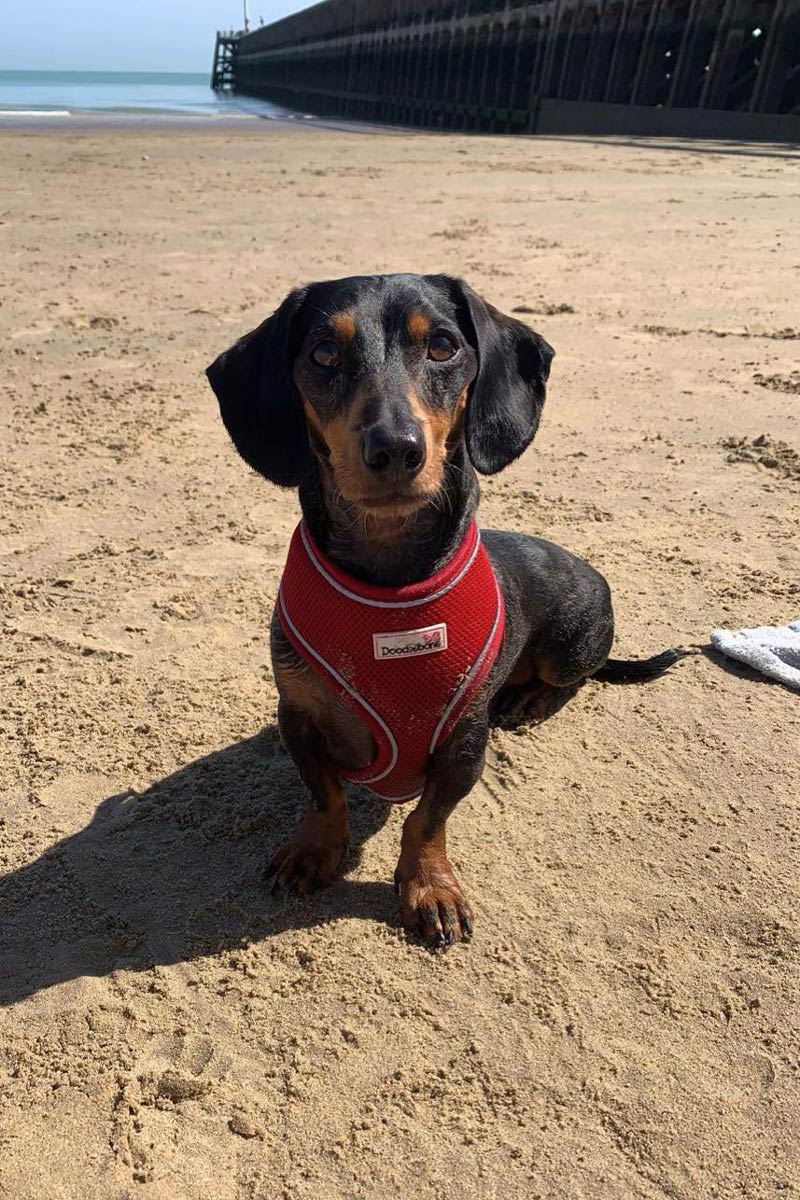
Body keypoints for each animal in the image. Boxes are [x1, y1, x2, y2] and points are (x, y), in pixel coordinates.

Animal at [208, 272, 681, 945]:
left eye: (442, 345)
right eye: (323, 353)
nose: (394, 448)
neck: (389, 588)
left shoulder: (464, 745)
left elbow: (426, 819)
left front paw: (429, 886)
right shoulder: (296, 716)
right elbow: (326, 795)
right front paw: (314, 851)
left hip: (569, 646)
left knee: (574, 679)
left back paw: (528, 700)